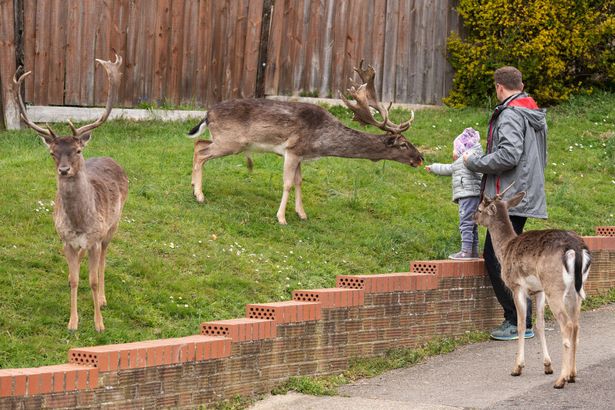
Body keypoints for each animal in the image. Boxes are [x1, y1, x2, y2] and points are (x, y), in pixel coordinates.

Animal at [14, 53, 128, 334]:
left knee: (104, 260)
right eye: (52, 153)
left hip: (113, 226)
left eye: (77, 150)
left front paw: (99, 324)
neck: (80, 224)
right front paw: (73, 322)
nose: (64, 170)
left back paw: (103, 299)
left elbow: (93, 280)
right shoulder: (66, 240)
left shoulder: (96, 238)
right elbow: (77, 280)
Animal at [188, 60, 424, 224]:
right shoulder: (292, 149)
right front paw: (281, 218)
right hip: (231, 142)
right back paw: (199, 195)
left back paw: (192, 185)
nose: (420, 158)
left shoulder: (301, 155)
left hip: (223, 139)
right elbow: (287, 183)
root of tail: (207, 114)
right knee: (201, 152)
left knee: (198, 143)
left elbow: (300, 182)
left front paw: (302, 214)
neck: (321, 141)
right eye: (403, 144)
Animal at [476, 184, 592, 390]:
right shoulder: (539, 290)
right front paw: (547, 365)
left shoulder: (517, 286)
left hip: (554, 286)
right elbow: (540, 324)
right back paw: (572, 374)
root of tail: (577, 249)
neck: (505, 249)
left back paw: (561, 380)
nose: (474, 217)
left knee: (567, 325)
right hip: (575, 290)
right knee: (576, 325)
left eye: (480, 209)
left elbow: (522, 324)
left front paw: (517, 367)